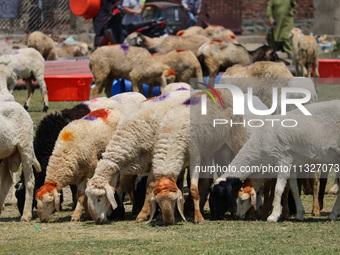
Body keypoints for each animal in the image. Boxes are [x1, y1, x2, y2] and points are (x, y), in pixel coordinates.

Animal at [85, 89, 191, 223]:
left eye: (99, 197)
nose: (97, 220)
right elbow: (127, 186)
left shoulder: (155, 163)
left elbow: (149, 186)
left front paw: (143, 214)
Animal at [210, 100, 340, 222]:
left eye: (242, 200)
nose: (236, 216)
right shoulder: (292, 164)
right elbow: (294, 189)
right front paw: (299, 214)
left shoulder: (283, 160)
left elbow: (278, 189)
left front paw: (273, 216)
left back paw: (333, 214)